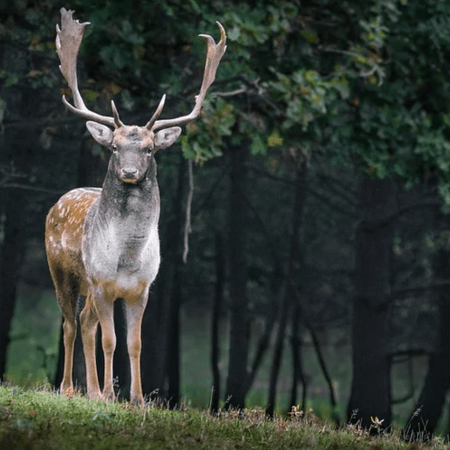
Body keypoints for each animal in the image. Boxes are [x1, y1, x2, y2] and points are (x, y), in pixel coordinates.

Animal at [46, 7, 227, 404]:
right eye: (114, 147)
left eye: (149, 148)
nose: (129, 171)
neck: (127, 258)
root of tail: (58, 202)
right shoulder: (102, 283)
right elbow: (110, 341)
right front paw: (110, 395)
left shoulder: (142, 289)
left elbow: (135, 343)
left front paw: (138, 398)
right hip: (63, 272)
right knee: (69, 323)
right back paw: (69, 388)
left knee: (85, 323)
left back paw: (91, 390)